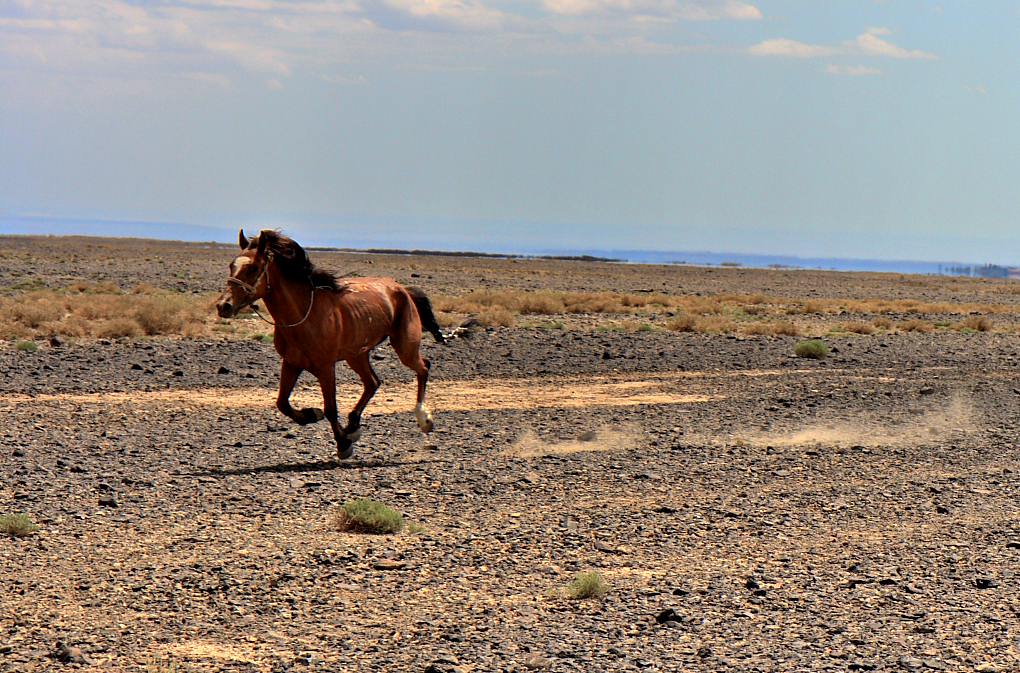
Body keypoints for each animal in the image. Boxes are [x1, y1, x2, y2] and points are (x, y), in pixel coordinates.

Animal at [215, 228, 442, 460]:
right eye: (232, 265)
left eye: (253, 268)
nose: (224, 306)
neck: (304, 316)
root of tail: (402, 289)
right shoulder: (291, 363)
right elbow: (283, 403)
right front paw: (312, 415)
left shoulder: (325, 367)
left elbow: (331, 408)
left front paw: (343, 444)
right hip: (356, 355)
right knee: (373, 382)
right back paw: (353, 426)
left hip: (405, 347)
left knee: (423, 367)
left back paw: (424, 419)